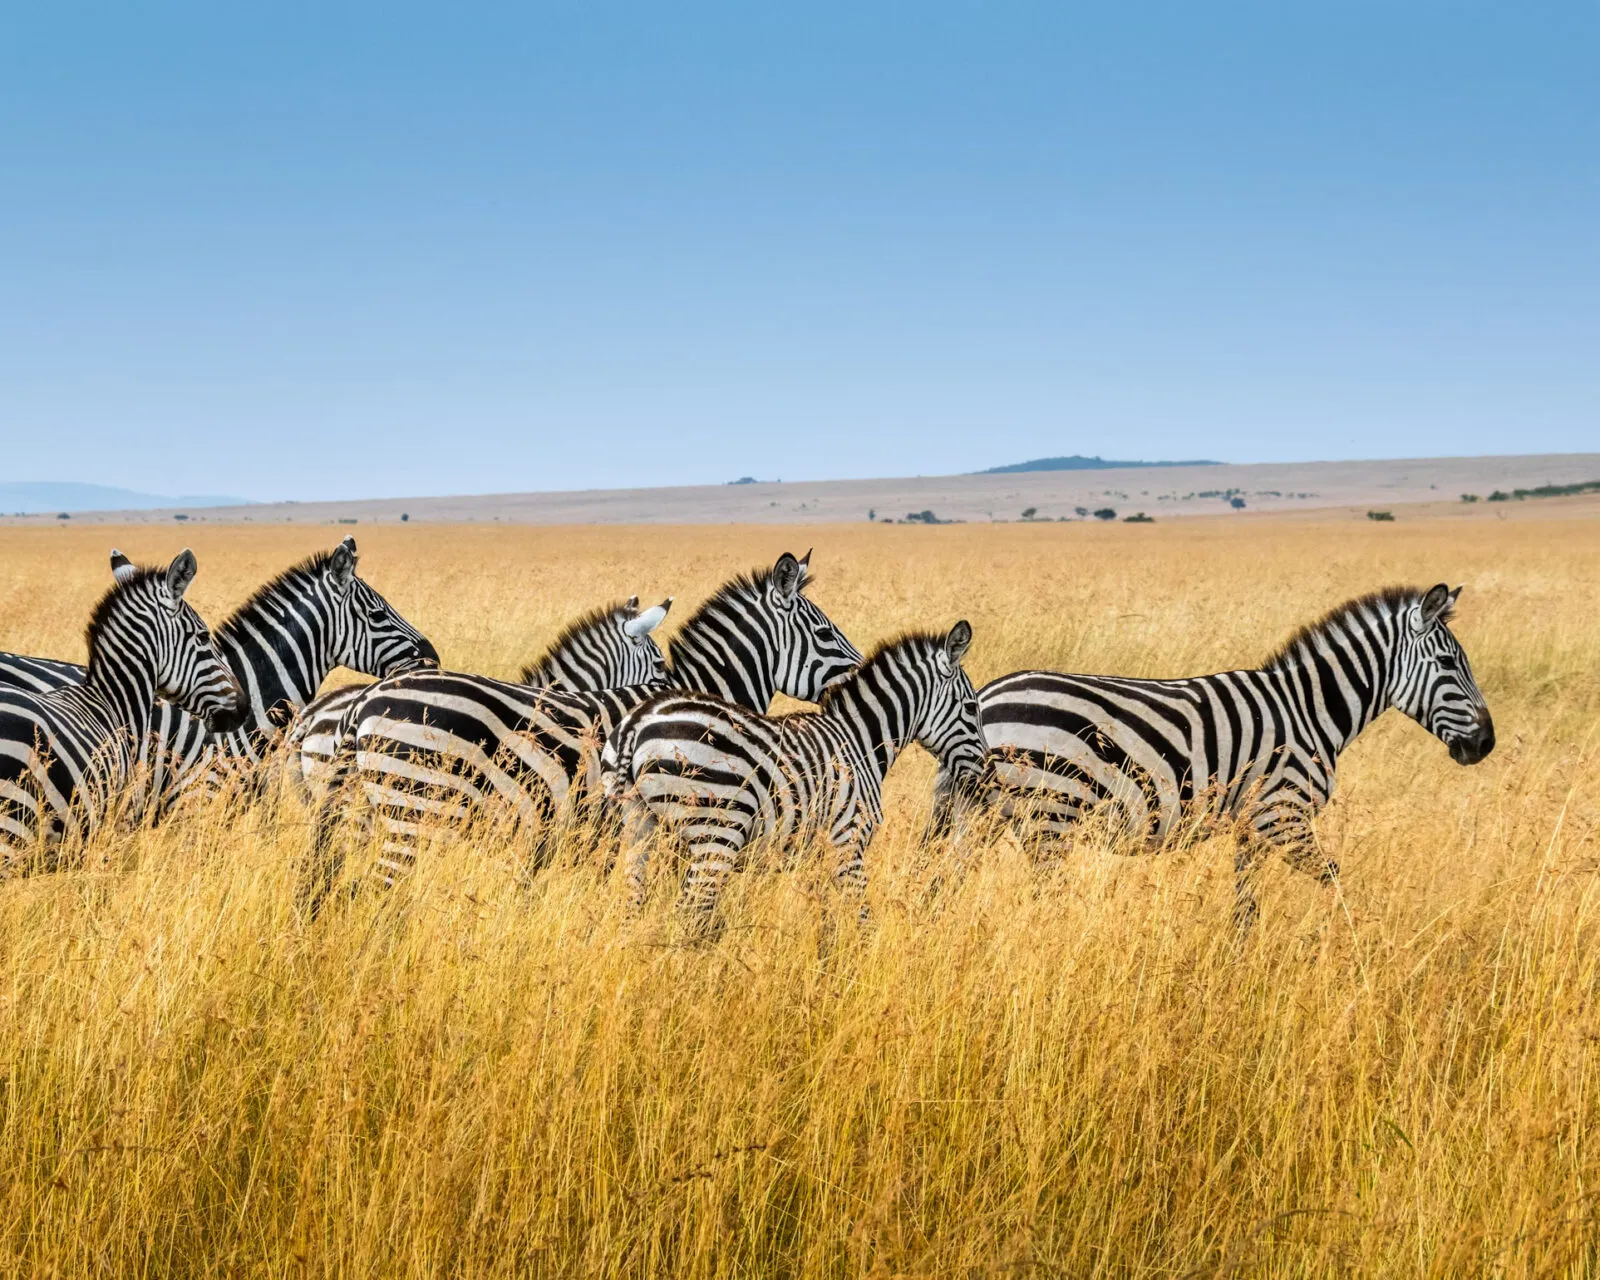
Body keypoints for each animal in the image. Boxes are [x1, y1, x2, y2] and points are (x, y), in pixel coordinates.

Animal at [605, 623, 983, 931]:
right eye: (971, 708)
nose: (984, 772)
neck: (859, 741)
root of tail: (638, 721)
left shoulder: (817, 851)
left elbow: (826, 918)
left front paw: (825, 963)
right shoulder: (848, 840)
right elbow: (861, 917)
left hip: (640, 824)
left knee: (632, 905)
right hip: (716, 832)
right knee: (690, 912)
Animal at [935, 584, 1495, 927]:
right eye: (1450, 664)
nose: (1485, 744)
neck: (1309, 709)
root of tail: (985, 696)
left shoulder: (1252, 825)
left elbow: (1246, 907)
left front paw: (1238, 966)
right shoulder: (1283, 815)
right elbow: (1335, 879)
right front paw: (1351, 947)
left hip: (980, 816)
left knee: (941, 885)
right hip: (1051, 816)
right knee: (1038, 901)